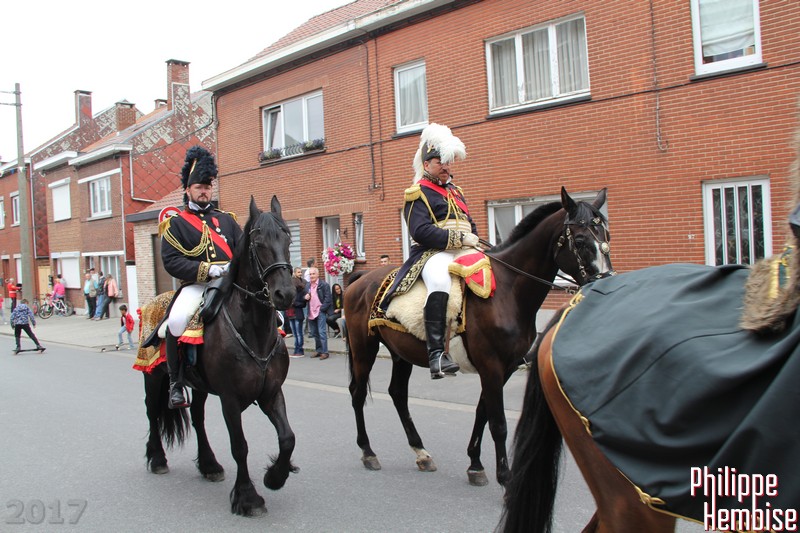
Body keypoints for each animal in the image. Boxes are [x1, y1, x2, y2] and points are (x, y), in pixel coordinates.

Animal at [140, 195, 297, 516]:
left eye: (288, 238)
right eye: (258, 243)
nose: (285, 295)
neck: (253, 331)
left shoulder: (271, 392)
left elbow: (287, 438)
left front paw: (275, 477)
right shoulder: (230, 399)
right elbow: (240, 446)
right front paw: (247, 497)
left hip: (199, 385)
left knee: (198, 418)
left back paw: (209, 465)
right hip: (154, 377)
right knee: (152, 413)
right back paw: (158, 459)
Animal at [344, 187, 614, 487]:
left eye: (606, 236)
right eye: (579, 240)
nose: (605, 281)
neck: (508, 290)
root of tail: (359, 280)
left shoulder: (505, 368)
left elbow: (483, 412)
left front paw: (475, 464)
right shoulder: (491, 366)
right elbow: (498, 423)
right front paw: (504, 475)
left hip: (400, 353)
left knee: (398, 394)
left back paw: (421, 453)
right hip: (364, 348)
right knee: (357, 393)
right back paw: (368, 452)